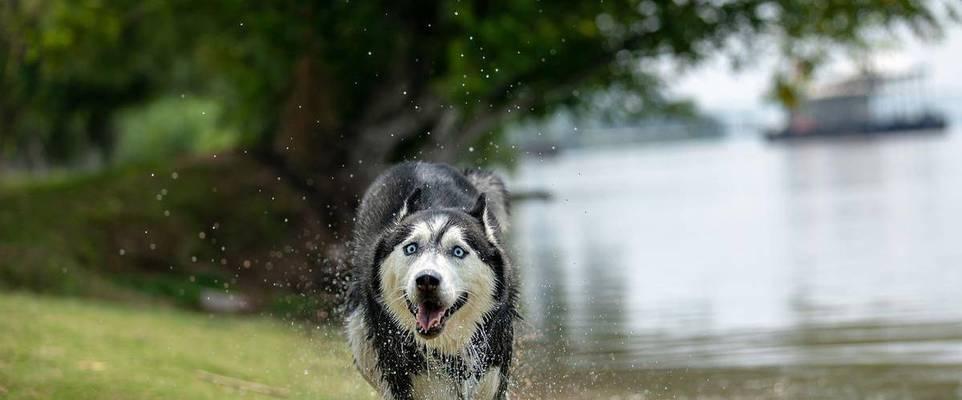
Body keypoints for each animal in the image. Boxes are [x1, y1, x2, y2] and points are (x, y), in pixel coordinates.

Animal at [344, 161, 516, 398]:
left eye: (458, 251)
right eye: (411, 248)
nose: (426, 280)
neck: (447, 349)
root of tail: (421, 163)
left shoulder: (492, 375)